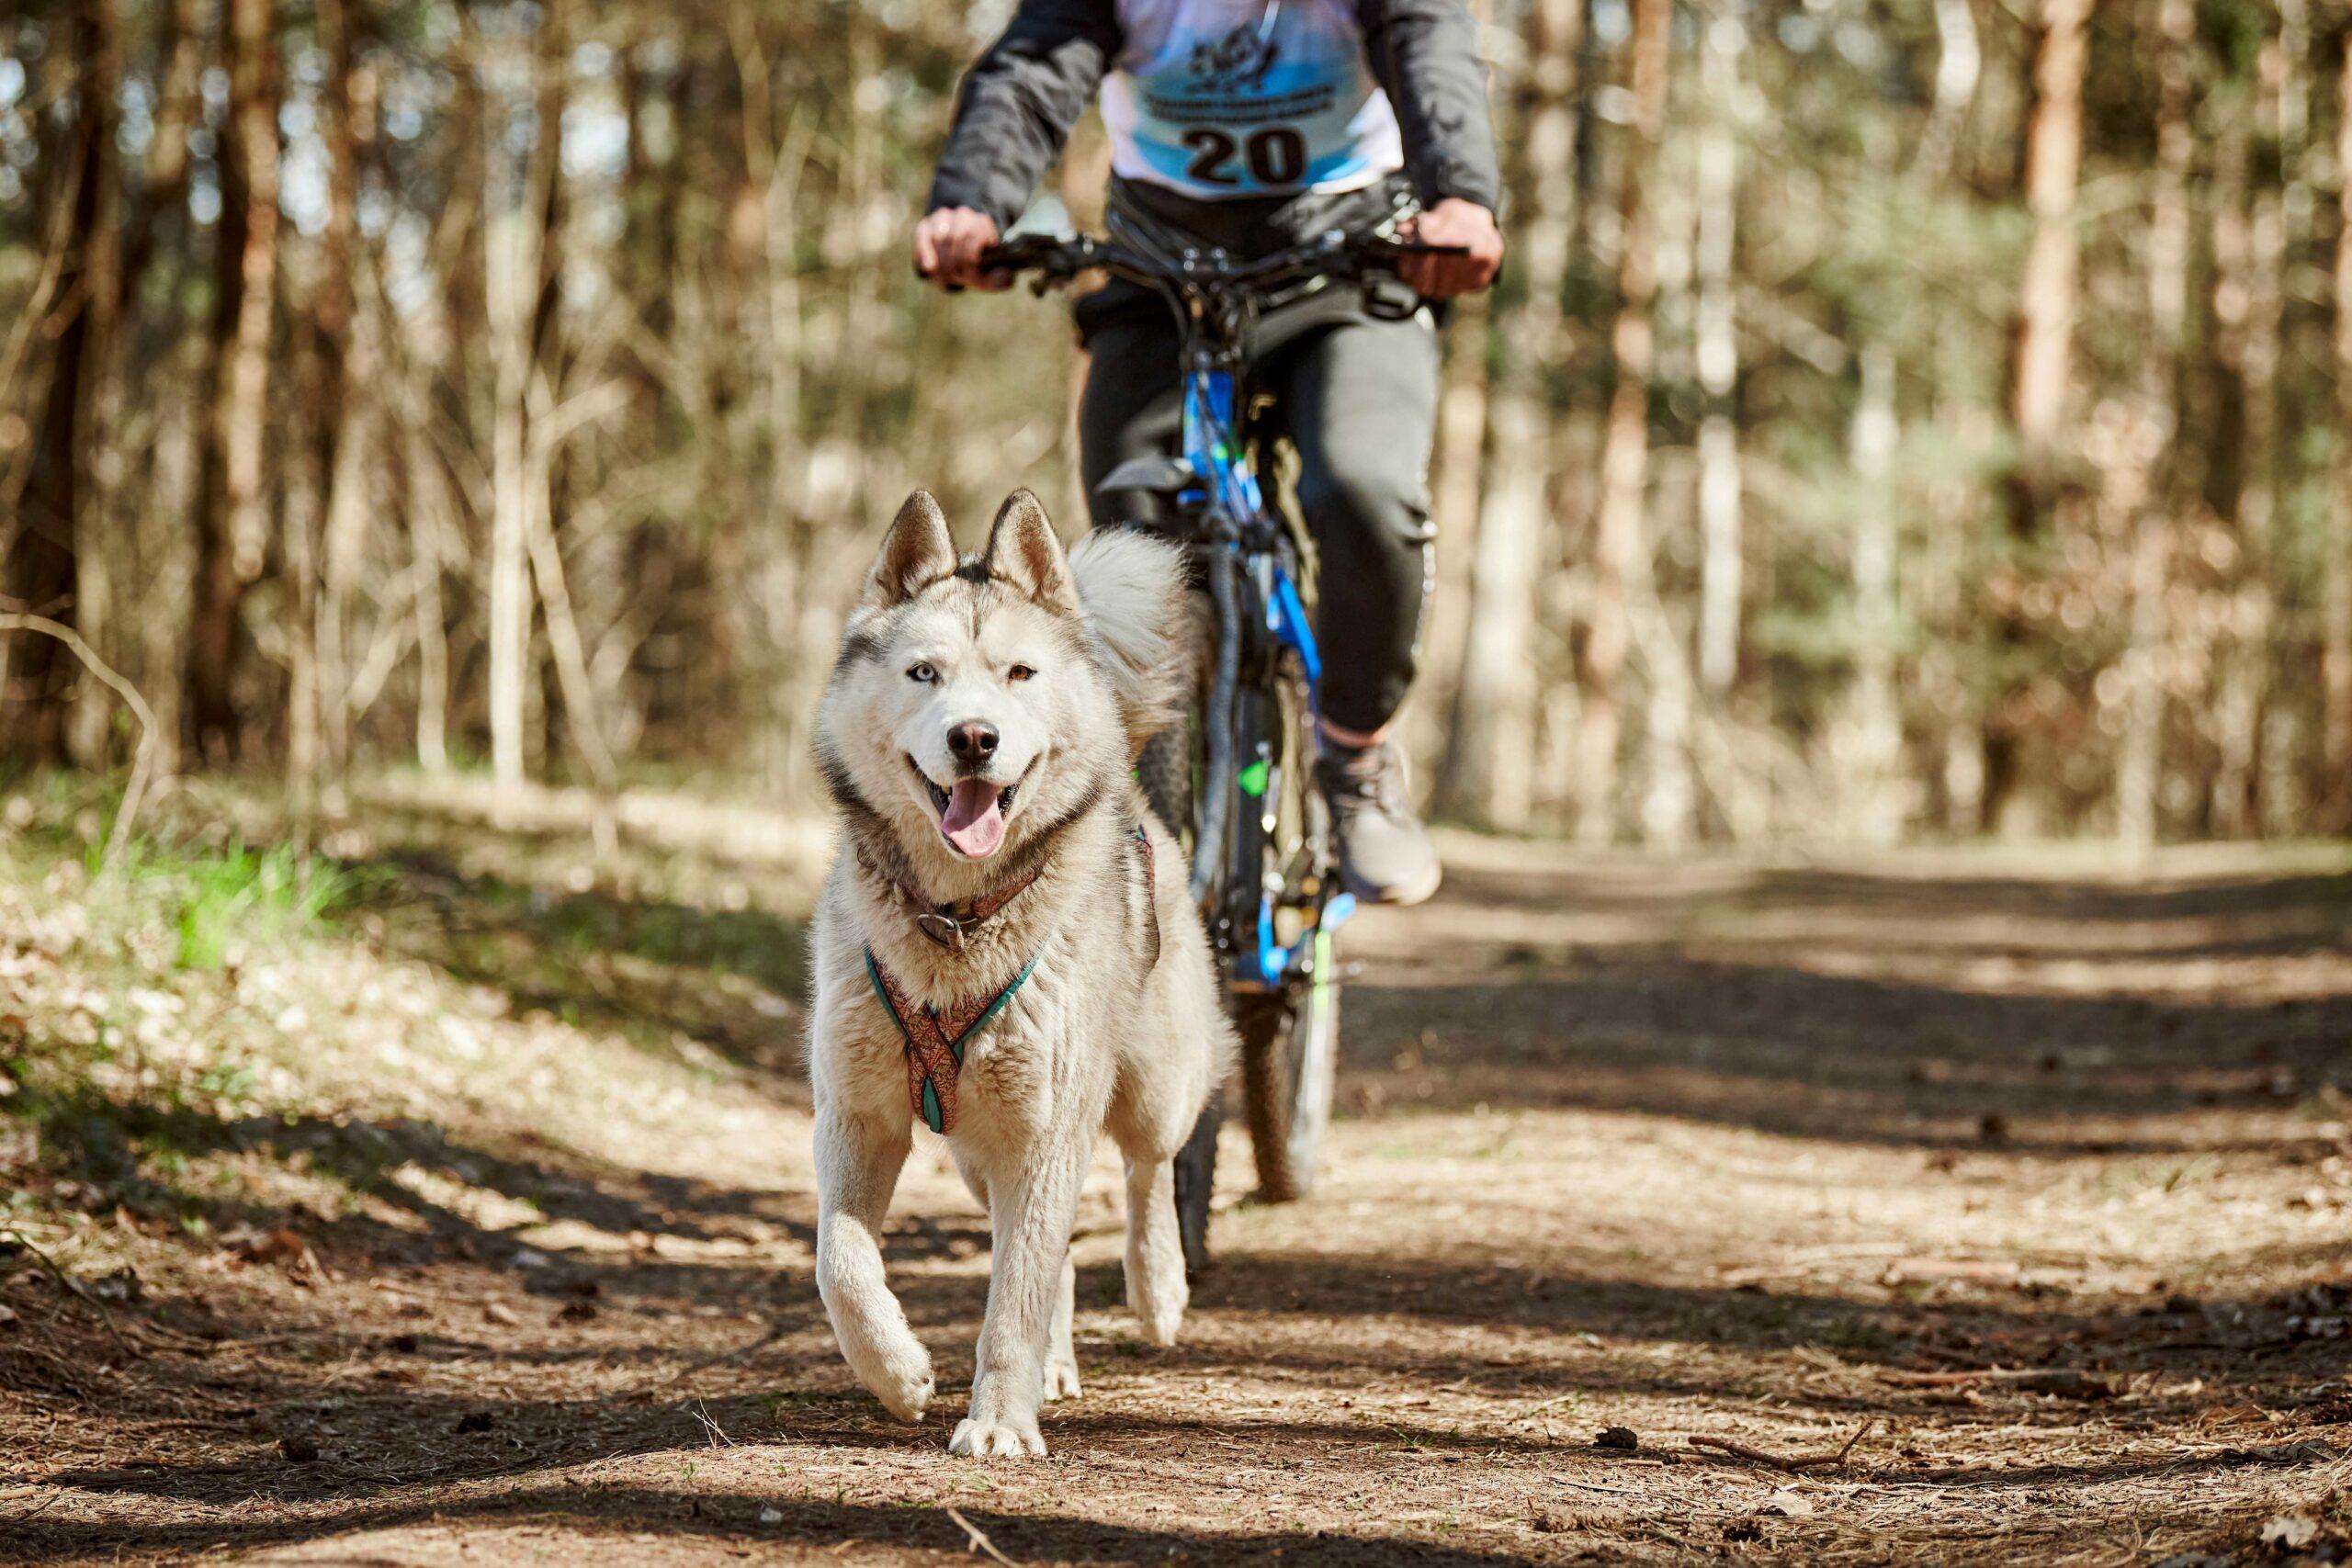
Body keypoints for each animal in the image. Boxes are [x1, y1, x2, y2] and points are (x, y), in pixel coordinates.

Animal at [808, 484, 1232, 1457]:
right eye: (924, 673)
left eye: (1019, 675)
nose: (974, 738)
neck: (956, 923)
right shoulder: (857, 1113)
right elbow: (840, 1260)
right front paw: (897, 1371)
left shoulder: (1046, 1128)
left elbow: (1014, 1301)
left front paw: (999, 1420)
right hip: (976, 1147)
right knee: (1051, 1249)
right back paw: (1056, 1363)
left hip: (1149, 1085)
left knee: (1149, 1173)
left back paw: (1159, 1286)